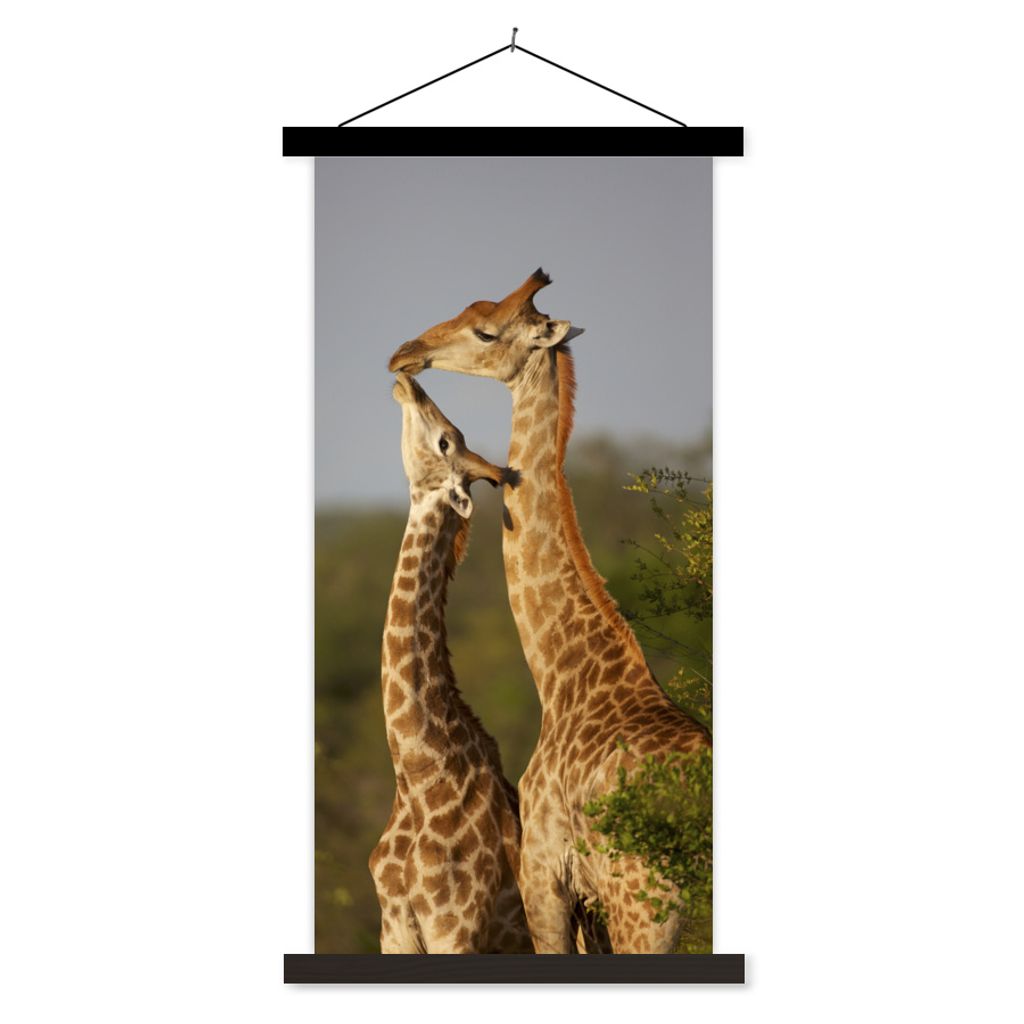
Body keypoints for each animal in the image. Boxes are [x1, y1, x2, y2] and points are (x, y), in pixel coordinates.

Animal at [388, 270, 711, 953]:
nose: (405, 353)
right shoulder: (581, 902)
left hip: (649, 912)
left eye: (486, 331)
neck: (563, 676)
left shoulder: (545, 875)